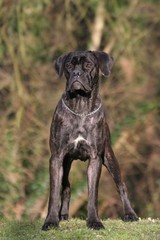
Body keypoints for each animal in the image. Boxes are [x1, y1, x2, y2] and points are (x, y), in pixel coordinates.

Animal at [42, 50, 138, 231]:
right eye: (69, 65)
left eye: (88, 65)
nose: (76, 73)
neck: (81, 108)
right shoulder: (56, 158)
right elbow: (54, 192)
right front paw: (51, 221)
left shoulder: (95, 159)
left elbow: (93, 193)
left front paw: (94, 221)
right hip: (66, 163)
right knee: (66, 186)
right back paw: (63, 215)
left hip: (110, 158)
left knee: (121, 185)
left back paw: (130, 214)